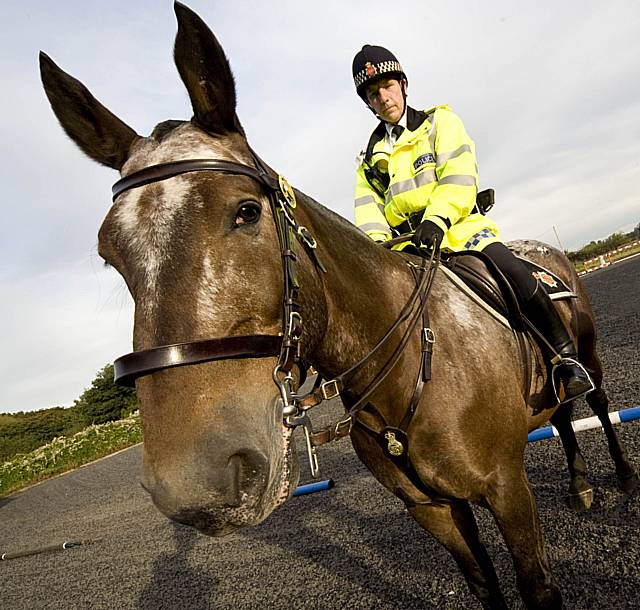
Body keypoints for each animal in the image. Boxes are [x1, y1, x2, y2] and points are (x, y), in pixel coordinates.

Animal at [38, 2, 636, 604]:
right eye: (110, 253)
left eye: (247, 211)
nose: (195, 487)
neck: (412, 363)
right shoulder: (432, 510)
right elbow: (484, 586)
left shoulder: (507, 490)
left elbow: (537, 587)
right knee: (562, 418)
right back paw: (580, 486)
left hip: (589, 355)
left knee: (595, 401)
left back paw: (623, 475)